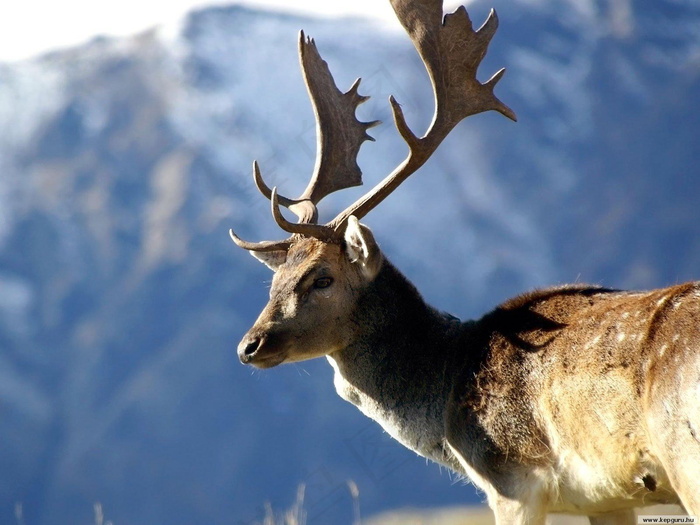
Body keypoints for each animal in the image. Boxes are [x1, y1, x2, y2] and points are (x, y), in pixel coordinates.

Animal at [230, 2, 700, 520]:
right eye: (276, 280)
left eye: (322, 279)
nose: (249, 346)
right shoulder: (608, 497)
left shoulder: (513, 479)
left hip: (684, 454)